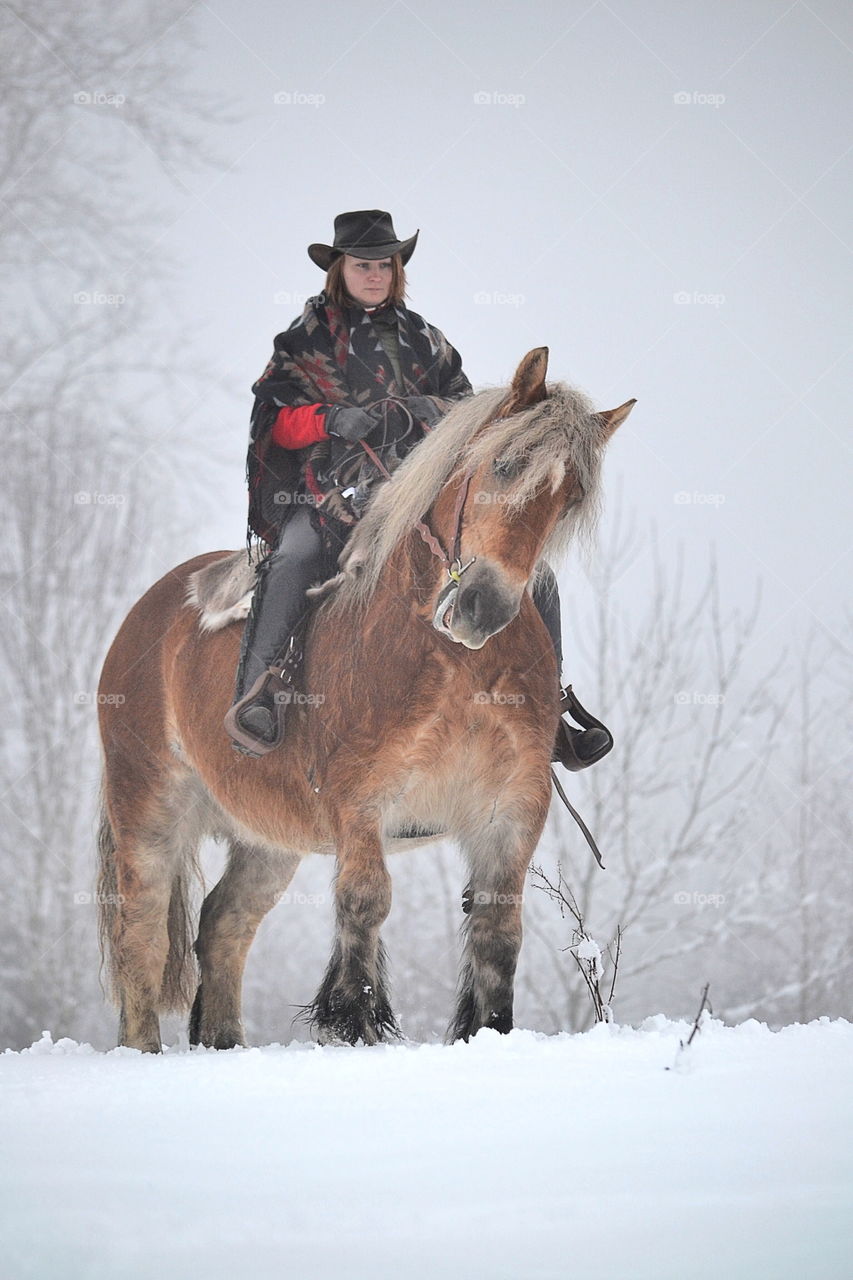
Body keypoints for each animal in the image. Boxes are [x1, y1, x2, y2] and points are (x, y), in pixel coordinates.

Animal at [97, 348, 630, 1049]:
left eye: (568, 500)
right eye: (504, 465)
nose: (483, 608)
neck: (455, 663)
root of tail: (145, 613)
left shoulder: (512, 811)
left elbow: (497, 937)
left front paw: (486, 1031)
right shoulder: (360, 804)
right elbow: (366, 901)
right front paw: (354, 1020)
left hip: (268, 836)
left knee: (223, 924)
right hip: (148, 807)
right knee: (141, 936)